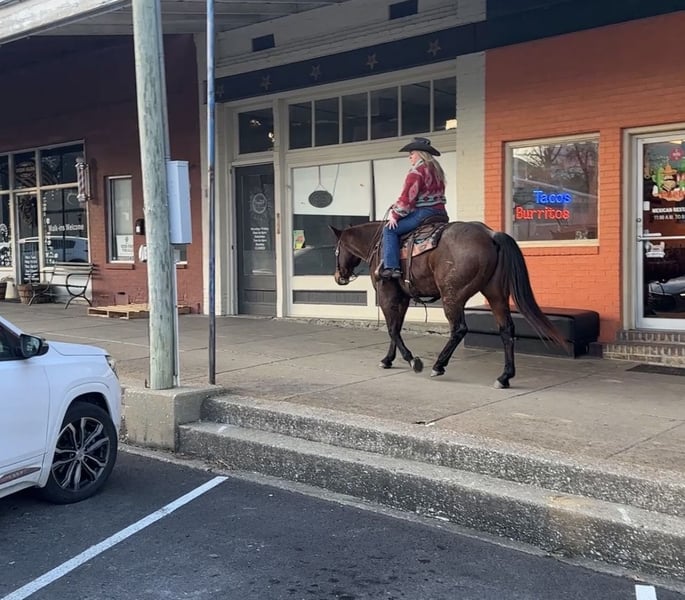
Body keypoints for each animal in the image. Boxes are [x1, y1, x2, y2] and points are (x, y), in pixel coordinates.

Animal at [330, 221, 568, 388]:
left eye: (336, 249)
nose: (338, 276)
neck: (377, 245)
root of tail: (490, 235)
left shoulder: (387, 294)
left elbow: (392, 329)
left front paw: (411, 360)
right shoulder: (403, 296)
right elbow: (395, 328)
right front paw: (388, 359)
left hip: (451, 296)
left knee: (459, 329)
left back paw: (438, 365)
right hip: (496, 295)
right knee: (506, 330)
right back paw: (504, 377)